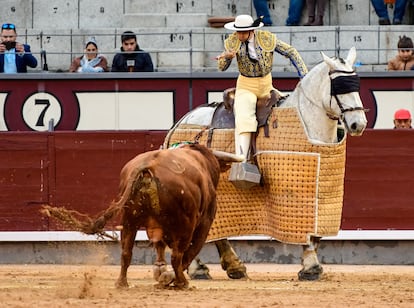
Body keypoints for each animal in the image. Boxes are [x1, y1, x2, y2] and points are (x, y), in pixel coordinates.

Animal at [164, 47, 366, 280]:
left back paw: (231, 267)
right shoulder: (293, 193)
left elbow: (315, 234)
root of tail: (179, 123)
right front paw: (311, 268)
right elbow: (305, 233)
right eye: (340, 88)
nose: (358, 124)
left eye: (356, 85)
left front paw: (310, 266)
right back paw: (200, 268)